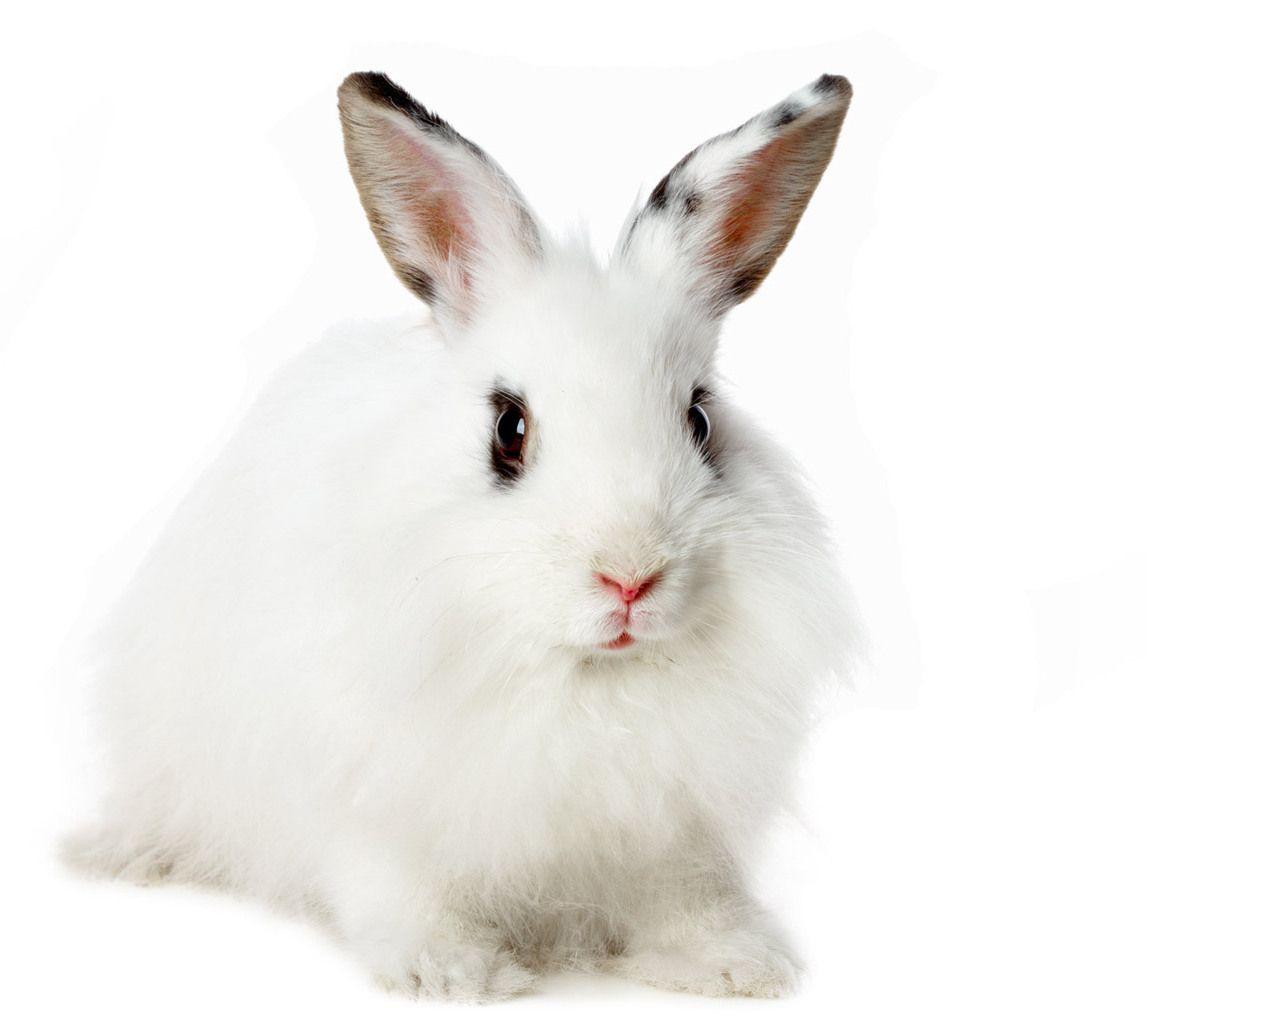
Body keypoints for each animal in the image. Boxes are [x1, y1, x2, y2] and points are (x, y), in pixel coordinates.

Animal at [65, 70, 857, 1002]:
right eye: (508, 429)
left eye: (699, 420)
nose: (630, 579)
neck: (586, 679)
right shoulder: (368, 801)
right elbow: (397, 883)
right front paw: (450, 972)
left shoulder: (670, 823)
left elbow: (683, 897)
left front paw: (740, 966)